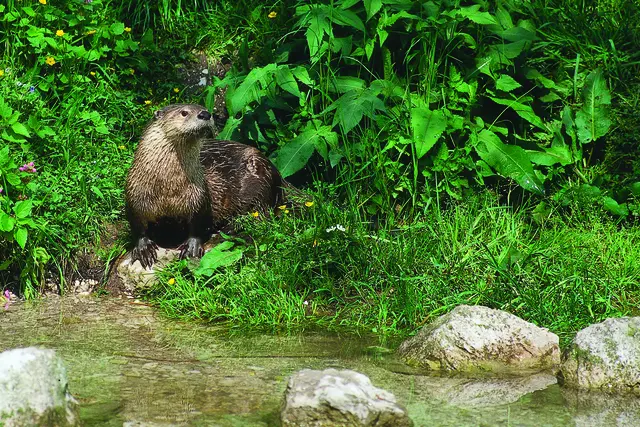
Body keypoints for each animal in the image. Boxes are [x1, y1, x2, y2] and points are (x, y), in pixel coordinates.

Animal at [125, 104, 285, 268]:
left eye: (205, 109)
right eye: (184, 113)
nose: (205, 114)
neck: (168, 191)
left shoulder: (200, 198)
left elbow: (199, 224)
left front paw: (192, 247)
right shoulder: (134, 196)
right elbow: (137, 226)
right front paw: (143, 247)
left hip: (262, 180)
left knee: (260, 212)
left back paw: (229, 227)